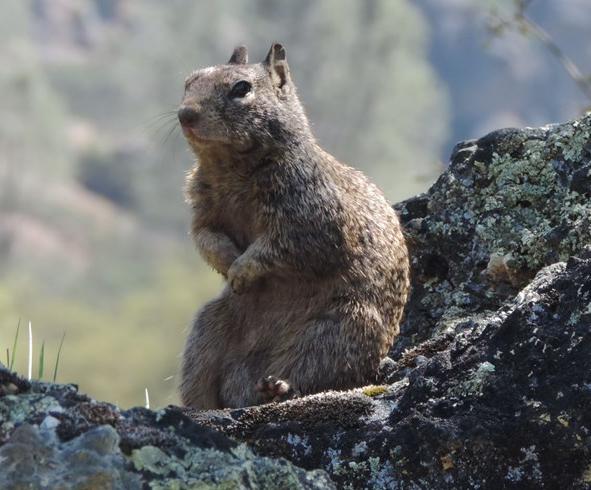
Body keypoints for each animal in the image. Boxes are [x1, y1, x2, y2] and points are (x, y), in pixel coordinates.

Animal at [178, 43, 410, 410]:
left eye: (241, 88)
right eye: (189, 81)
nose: (185, 114)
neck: (230, 166)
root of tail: (242, 389)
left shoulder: (310, 215)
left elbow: (283, 247)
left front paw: (241, 269)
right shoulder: (203, 209)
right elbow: (204, 237)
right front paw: (228, 261)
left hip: (339, 329)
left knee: (314, 370)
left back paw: (278, 387)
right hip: (207, 329)